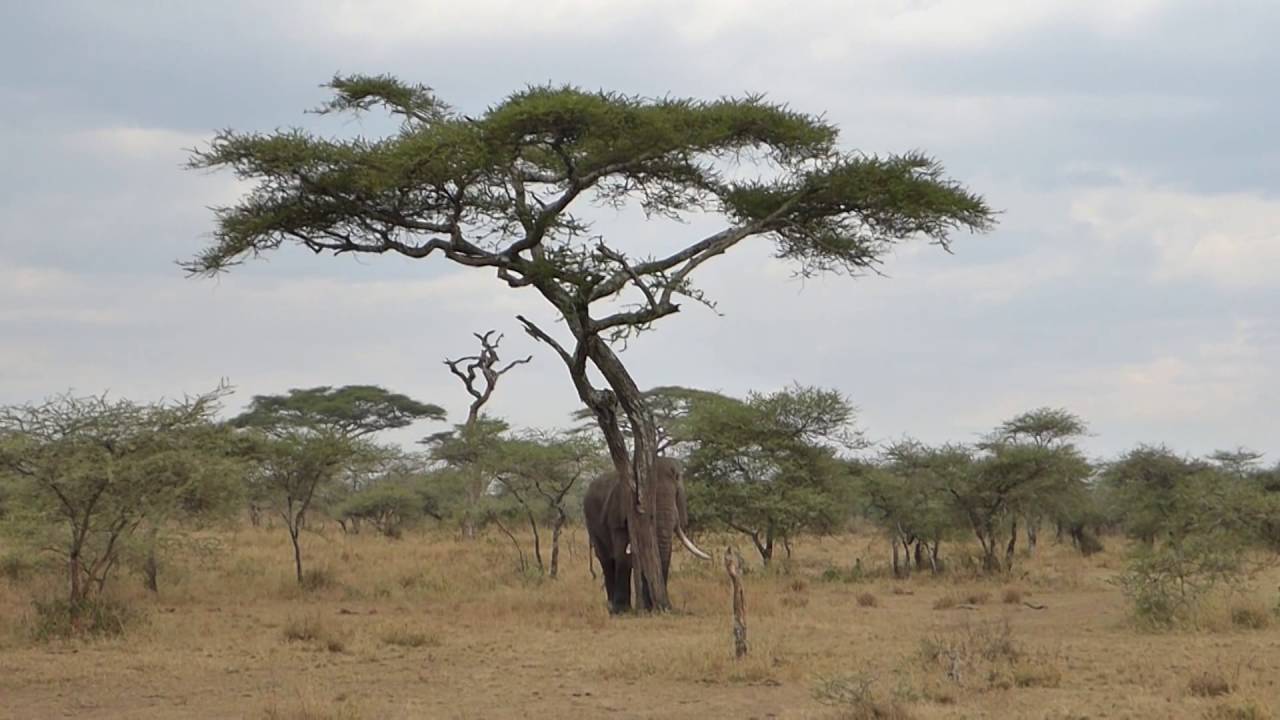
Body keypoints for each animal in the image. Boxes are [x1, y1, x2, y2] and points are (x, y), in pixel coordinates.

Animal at [583, 456, 711, 613]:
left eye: (676, 493)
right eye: (642, 498)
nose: (665, 606)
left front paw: (651, 608)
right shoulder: (618, 513)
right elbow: (623, 556)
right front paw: (623, 611)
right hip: (590, 521)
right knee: (606, 560)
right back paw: (612, 608)